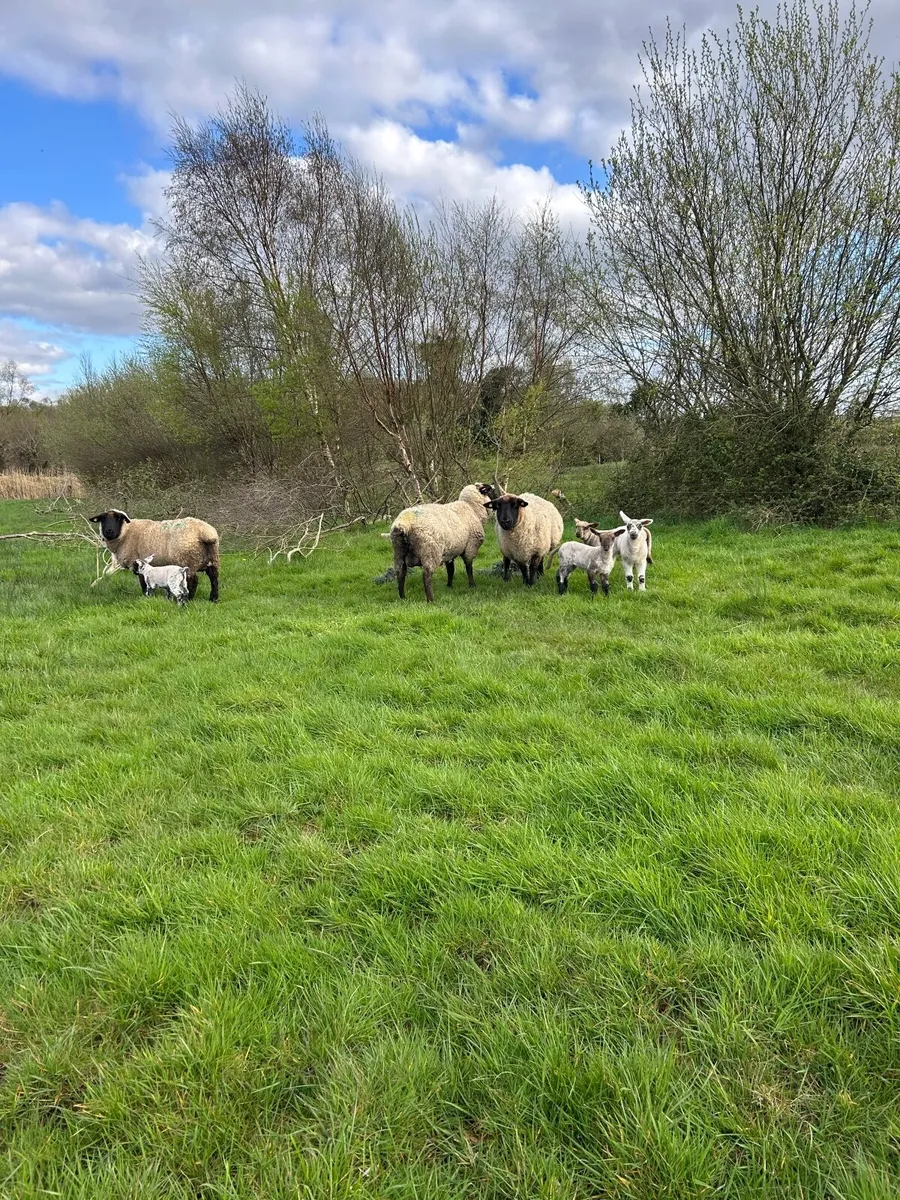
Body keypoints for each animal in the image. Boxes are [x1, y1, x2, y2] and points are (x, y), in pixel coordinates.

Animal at [89, 509, 220, 602]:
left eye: (119, 519)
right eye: (102, 519)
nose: (109, 531)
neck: (126, 532)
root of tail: (206, 533)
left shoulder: (138, 561)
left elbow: (142, 581)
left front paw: (145, 596)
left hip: (188, 559)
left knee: (194, 580)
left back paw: (190, 598)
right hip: (212, 558)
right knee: (214, 578)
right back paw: (213, 599)